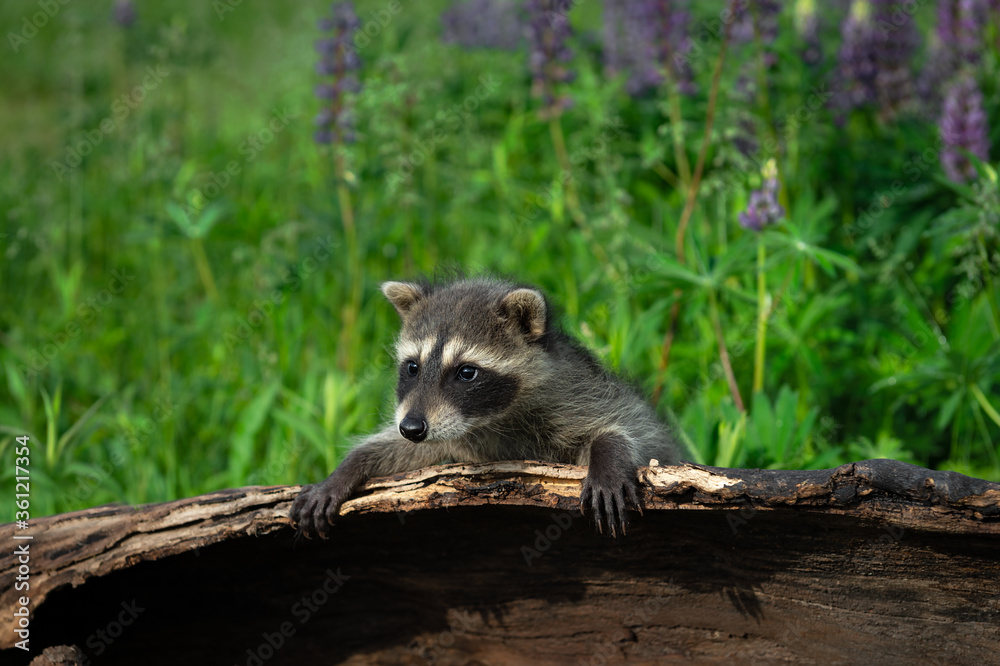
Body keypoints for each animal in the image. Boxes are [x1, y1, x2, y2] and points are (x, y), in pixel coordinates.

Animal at [291, 276, 682, 538]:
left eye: (466, 372)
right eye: (412, 367)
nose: (411, 427)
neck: (487, 420)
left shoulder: (577, 396)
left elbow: (629, 430)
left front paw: (608, 454)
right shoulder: (448, 433)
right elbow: (402, 451)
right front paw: (345, 470)